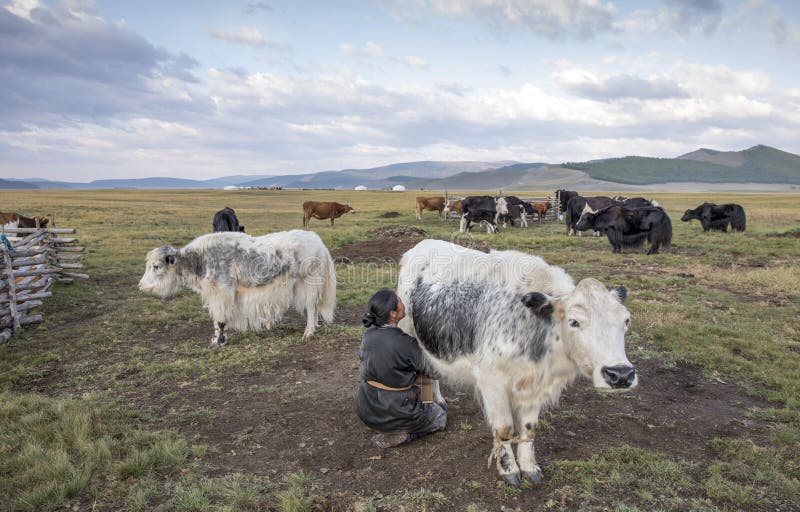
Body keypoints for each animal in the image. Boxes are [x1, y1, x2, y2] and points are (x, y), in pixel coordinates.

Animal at [139, 229, 336, 346]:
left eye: (156, 266)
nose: (141, 286)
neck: (199, 260)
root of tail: (318, 241)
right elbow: (218, 319)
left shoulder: (221, 293)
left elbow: (220, 319)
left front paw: (217, 342)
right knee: (314, 307)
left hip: (309, 282)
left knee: (311, 306)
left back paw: (308, 332)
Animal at [396, 240, 636, 488]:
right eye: (574, 321)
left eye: (626, 320)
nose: (620, 374)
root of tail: (422, 245)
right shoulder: (491, 382)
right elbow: (504, 430)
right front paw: (509, 469)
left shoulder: (535, 387)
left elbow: (529, 429)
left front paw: (530, 467)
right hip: (408, 333)